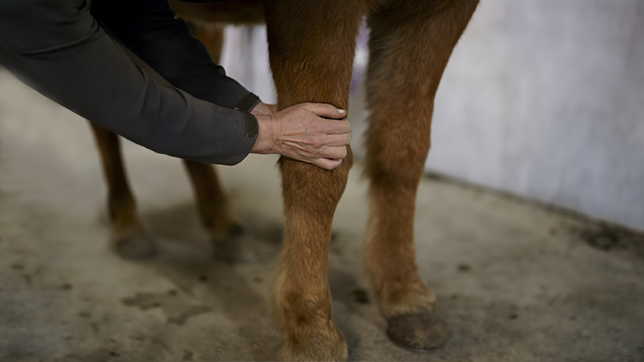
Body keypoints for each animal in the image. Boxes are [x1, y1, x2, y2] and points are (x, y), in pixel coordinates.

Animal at [89, 1, 478, 360]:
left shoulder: (435, 14)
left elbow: (401, 153)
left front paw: (405, 295)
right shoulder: (313, 15)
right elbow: (318, 172)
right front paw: (311, 331)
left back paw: (224, 226)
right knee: (108, 114)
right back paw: (128, 224)